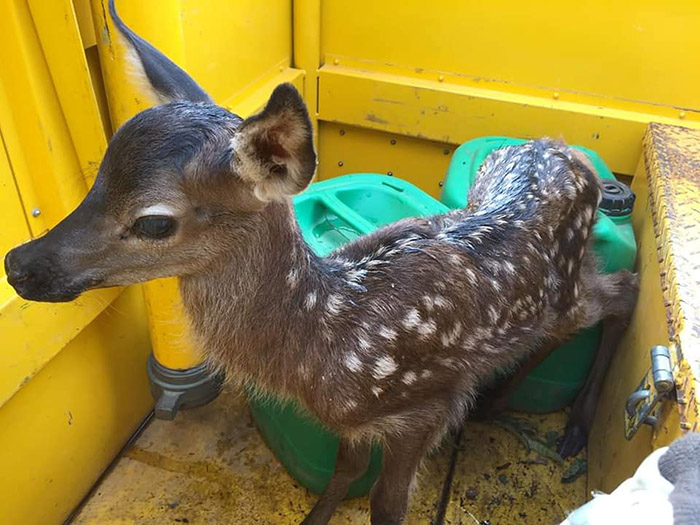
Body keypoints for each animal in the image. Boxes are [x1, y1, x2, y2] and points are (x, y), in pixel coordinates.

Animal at [4, 2, 640, 520]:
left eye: (153, 221)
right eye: (95, 182)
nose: (18, 262)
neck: (323, 332)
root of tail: (566, 151)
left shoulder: (426, 407)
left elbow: (386, 505)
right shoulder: (351, 420)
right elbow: (343, 472)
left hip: (567, 289)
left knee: (624, 292)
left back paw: (575, 429)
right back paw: (497, 403)